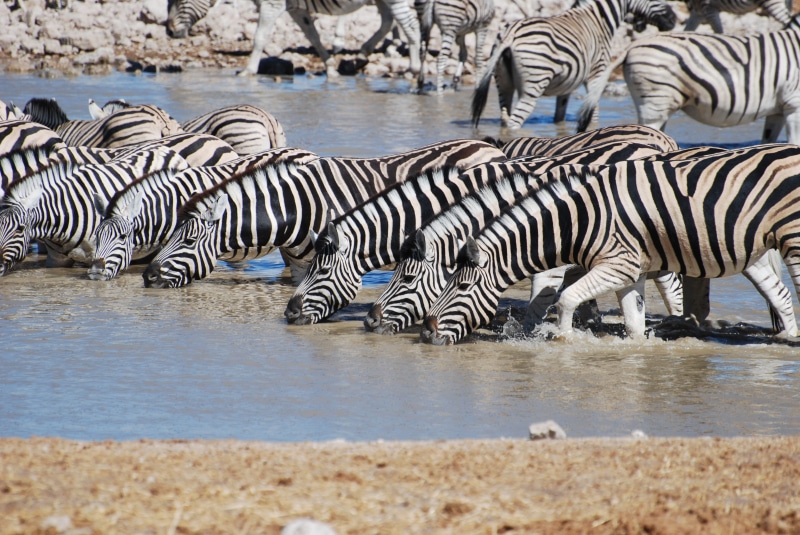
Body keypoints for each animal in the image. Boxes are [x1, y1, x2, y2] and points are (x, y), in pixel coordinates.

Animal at [166, 0, 422, 77]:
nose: (168, 32)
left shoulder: (272, 4)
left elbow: (260, 37)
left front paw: (248, 70)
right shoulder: (296, 9)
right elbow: (313, 36)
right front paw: (330, 66)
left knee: (410, 26)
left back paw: (413, 68)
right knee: (388, 20)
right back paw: (361, 55)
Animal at [420, 143, 800, 345]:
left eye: (462, 287)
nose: (427, 332)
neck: (577, 219)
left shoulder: (616, 265)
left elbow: (564, 298)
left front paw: (562, 341)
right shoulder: (631, 273)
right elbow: (633, 323)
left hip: (793, 237)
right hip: (754, 247)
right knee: (779, 294)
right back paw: (787, 338)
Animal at [470, 0, 676, 131]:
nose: (673, 19)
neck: (598, 19)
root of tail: (511, 33)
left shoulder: (566, 86)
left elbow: (559, 116)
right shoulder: (596, 73)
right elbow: (594, 112)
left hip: (503, 82)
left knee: (505, 117)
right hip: (534, 82)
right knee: (514, 122)